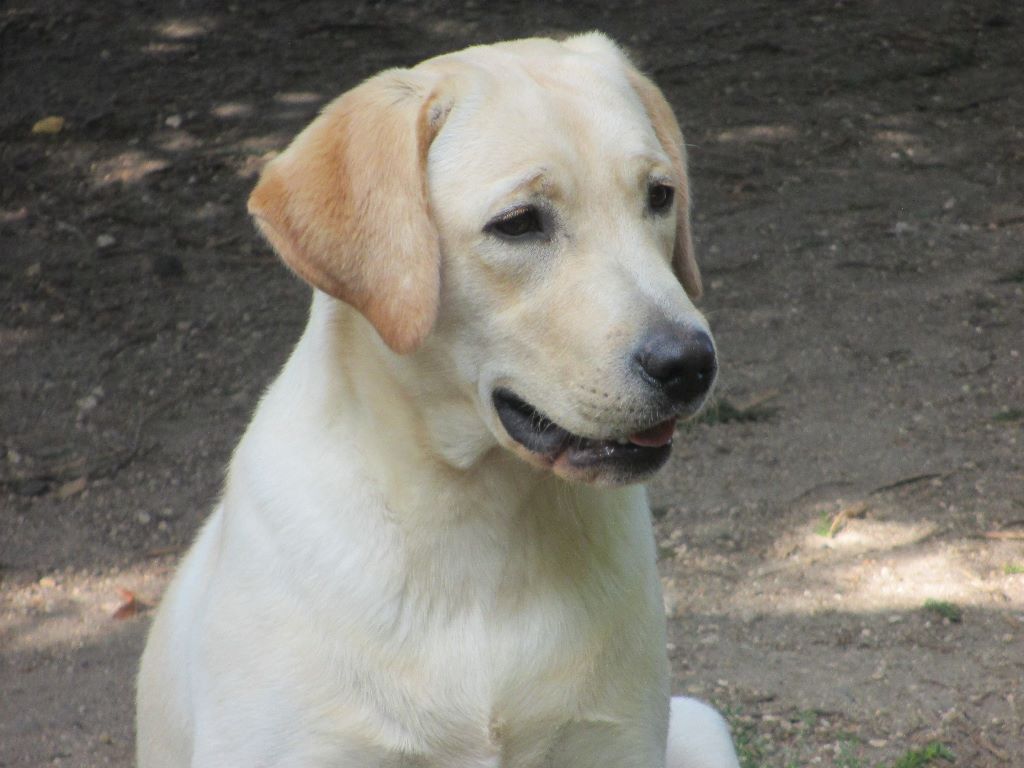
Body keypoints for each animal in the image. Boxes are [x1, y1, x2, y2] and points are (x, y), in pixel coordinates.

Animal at [137, 32, 739, 768]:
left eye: (660, 195)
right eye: (519, 223)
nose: (689, 363)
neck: (476, 535)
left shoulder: (616, 741)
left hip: (700, 723)